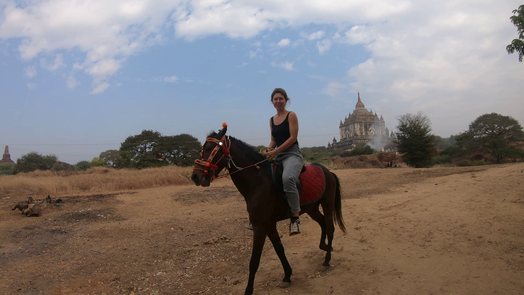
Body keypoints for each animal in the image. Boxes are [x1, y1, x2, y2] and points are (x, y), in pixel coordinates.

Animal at [190, 125, 346, 295]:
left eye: (210, 148)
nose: (195, 176)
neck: (258, 181)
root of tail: (327, 171)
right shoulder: (270, 225)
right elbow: (279, 249)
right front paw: (287, 276)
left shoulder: (261, 227)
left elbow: (254, 260)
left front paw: (249, 290)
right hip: (312, 208)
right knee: (323, 223)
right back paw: (324, 247)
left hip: (327, 204)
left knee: (330, 228)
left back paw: (327, 260)